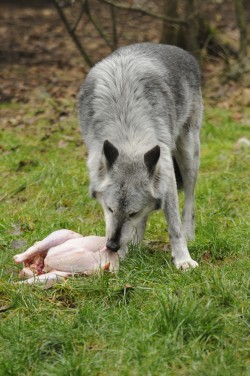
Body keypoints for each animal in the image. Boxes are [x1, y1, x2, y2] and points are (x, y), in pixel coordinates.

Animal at [78, 42, 203, 268]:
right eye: (109, 209)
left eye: (132, 213)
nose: (111, 246)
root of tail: (176, 49)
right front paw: (122, 254)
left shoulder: (167, 176)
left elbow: (174, 226)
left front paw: (183, 259)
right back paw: (136, 242)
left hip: (188, 153)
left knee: (189, 198)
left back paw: (189, 232)